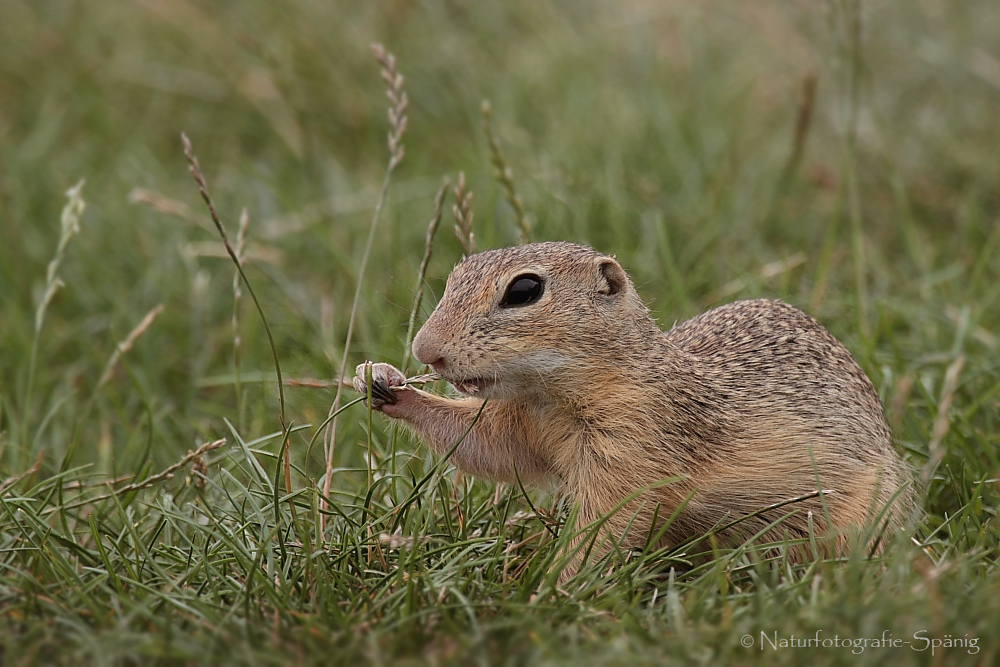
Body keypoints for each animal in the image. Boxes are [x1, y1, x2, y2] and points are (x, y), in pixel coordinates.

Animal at [352, 240, 916, 576]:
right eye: (454, 276)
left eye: (525, 289)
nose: (425, 350)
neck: (550, 397)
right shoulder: (520, 422)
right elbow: (491, 450)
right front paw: (380, 381)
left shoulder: (633, 444)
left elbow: (607, 521)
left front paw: (550, 587)